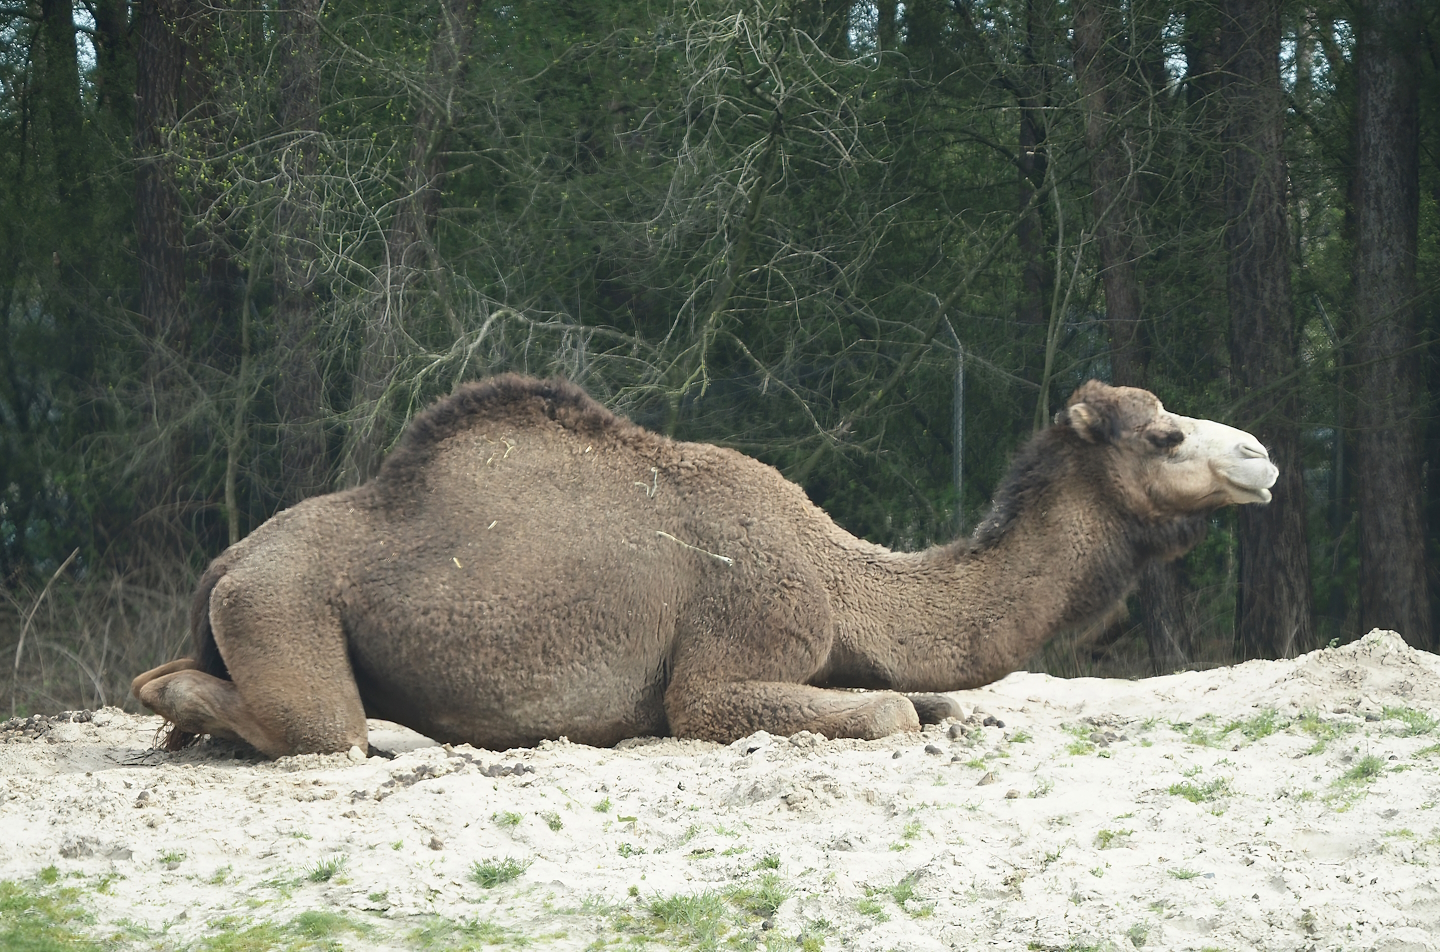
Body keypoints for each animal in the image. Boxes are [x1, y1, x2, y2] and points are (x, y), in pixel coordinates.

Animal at [132, 375, 1278, 757]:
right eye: (1164, 435)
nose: (1262, 456)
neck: (840, 575)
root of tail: (226, 562)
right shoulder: (730, 665)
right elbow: (888, 712)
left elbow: (937, 702)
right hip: (285, 604)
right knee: (317, 725)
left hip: (254, 604)